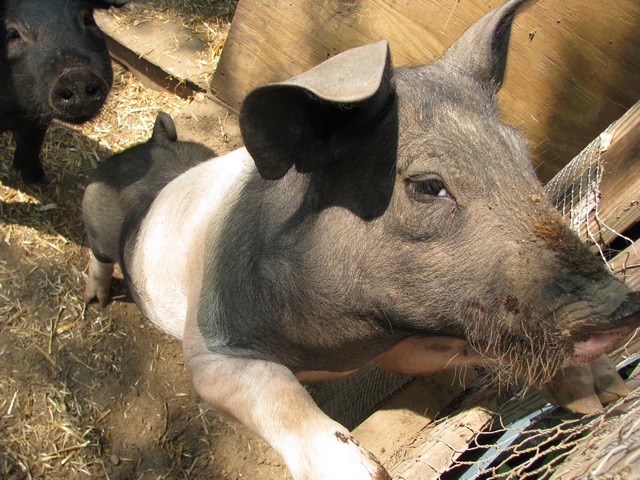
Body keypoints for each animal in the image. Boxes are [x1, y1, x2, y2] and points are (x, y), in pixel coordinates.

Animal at [0, 0, 130, 184]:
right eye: (13, 34)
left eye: (87, 19)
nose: (75, 76)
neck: (12, 112)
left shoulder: (36, 119)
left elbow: (31, 147)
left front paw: (40, 182)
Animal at [82, 0, 640, 479]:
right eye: (428, 186)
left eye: (523, 161)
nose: (621, 308)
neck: (340, 347)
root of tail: (148, 149)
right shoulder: (210, 345)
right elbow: (275, 390)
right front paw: (359, 472)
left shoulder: (407, 344)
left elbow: (464, 346)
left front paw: (603, 393)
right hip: (97, 218)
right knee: (98, 253)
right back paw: (96, 299)